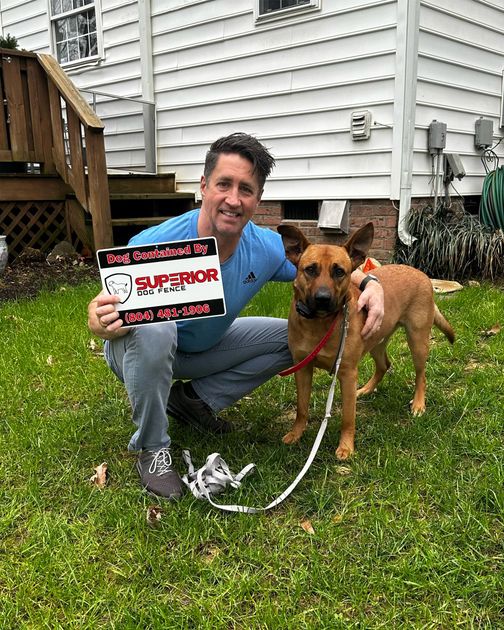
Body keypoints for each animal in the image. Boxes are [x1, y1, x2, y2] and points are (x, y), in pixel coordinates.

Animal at [278, 222, 454, 460]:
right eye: (310, 269)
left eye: (339, 271)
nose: (323, 299)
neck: (320, 324)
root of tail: (420, 273)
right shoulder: (302, 369)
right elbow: (301, 408)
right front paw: (296, 434)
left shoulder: (347, 374)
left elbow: (347, 417)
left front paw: (346, 447)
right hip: (376, 341)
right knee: (384, 365)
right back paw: (366, 390)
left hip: (417, 342)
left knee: (421, 376)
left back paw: (418, 404)